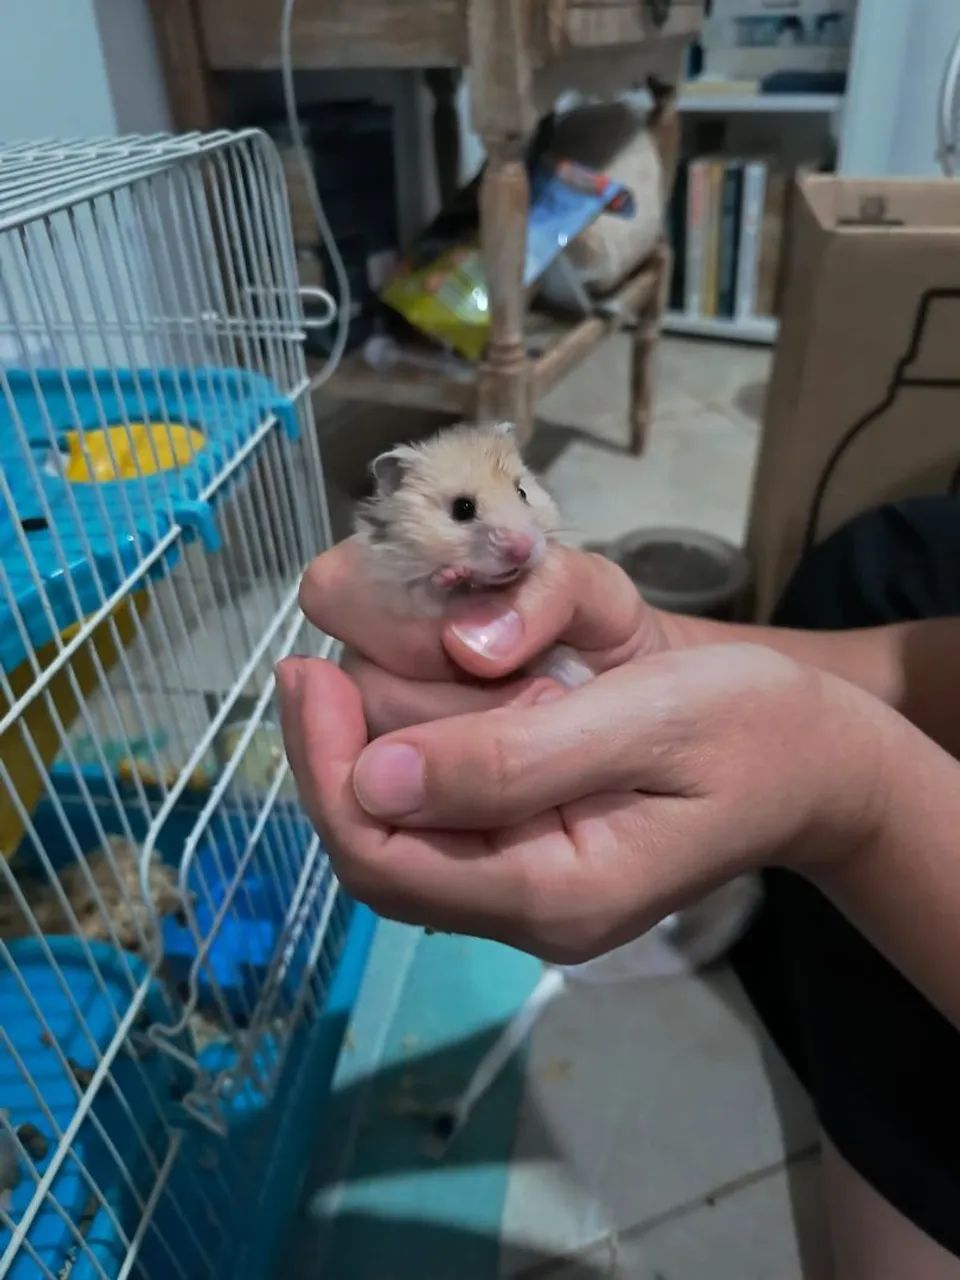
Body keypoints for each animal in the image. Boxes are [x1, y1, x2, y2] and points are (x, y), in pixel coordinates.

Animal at [355, 421, 593, 687]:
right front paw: (453, 574)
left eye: (522, 493)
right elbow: (432, 587)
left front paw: (579, 673)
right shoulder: (405, 594)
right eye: (462, 508)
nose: (524, 551)